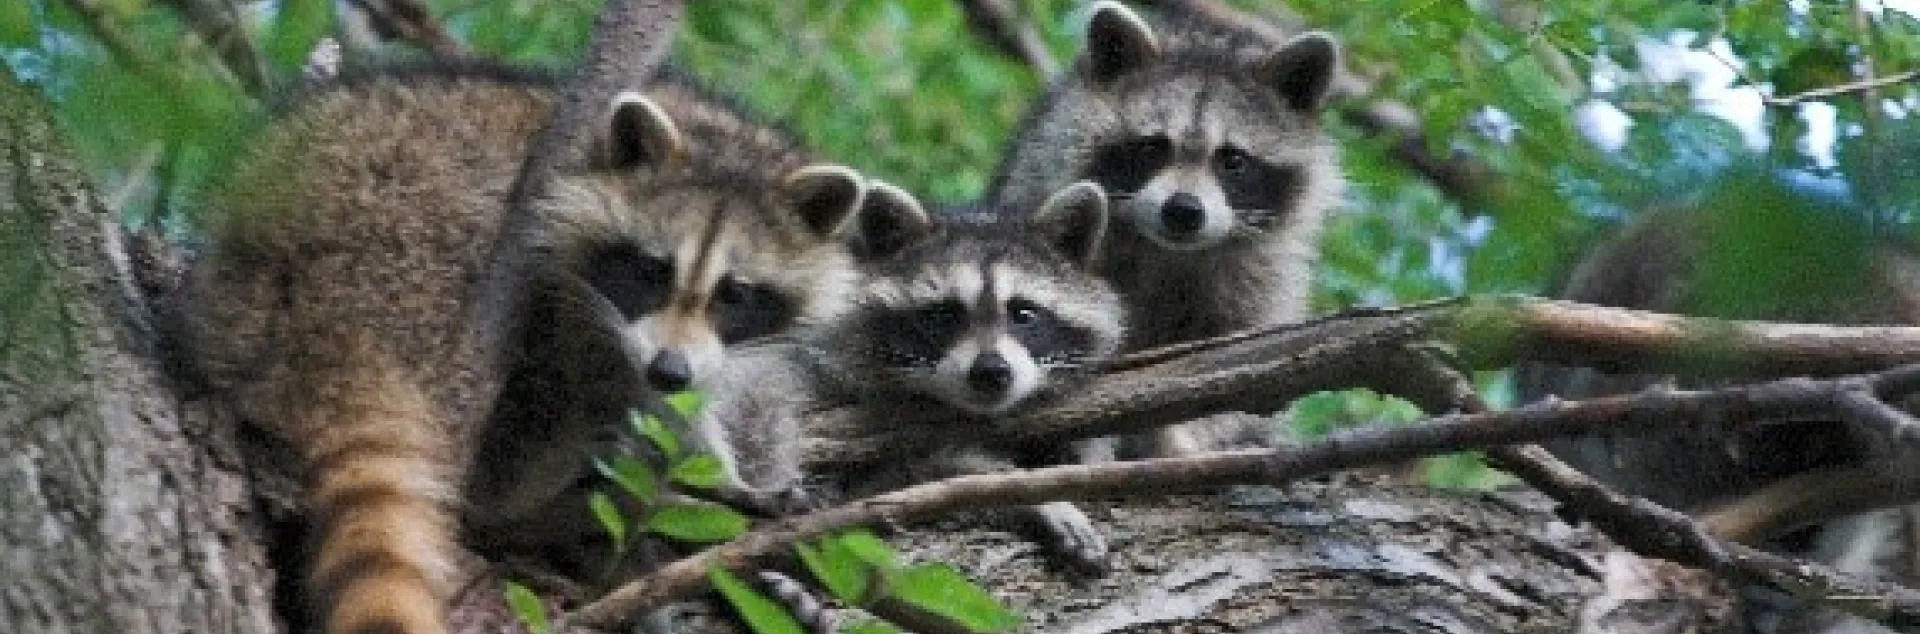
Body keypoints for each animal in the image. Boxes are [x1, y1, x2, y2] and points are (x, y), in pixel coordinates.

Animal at [177, 65, 872, 634]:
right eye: (651, 269)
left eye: (735, 293)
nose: (670, 369)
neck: (720, 134)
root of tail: (312, 289)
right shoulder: (581, 296)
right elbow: (625, 388)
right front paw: (719, 483)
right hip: (429, 235)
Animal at [985, 1, 1342, 458]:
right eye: (1153, 147)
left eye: (1232, 160)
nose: (1184, 211)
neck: (1169, 251)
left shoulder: (1261, 276)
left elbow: (1245, 354)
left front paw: (1183, 436)